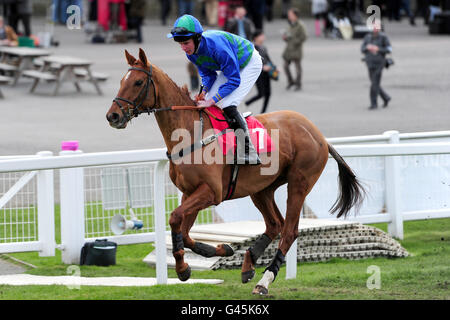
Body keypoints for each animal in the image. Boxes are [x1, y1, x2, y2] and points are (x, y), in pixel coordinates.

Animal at [106, 48, 366, 296]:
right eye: (121, 80)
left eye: (138, 82)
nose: (113, 116)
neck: (191, 133)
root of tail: (319, 135)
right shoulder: (189, 192)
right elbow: (184, 231)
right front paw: (215, 252)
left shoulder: (211, 192)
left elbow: (175, 218)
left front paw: (183, 266)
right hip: (262, 189)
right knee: (275, 224)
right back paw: (248, 265)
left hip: (299, 183)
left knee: (290, 231)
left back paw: (264, 281)